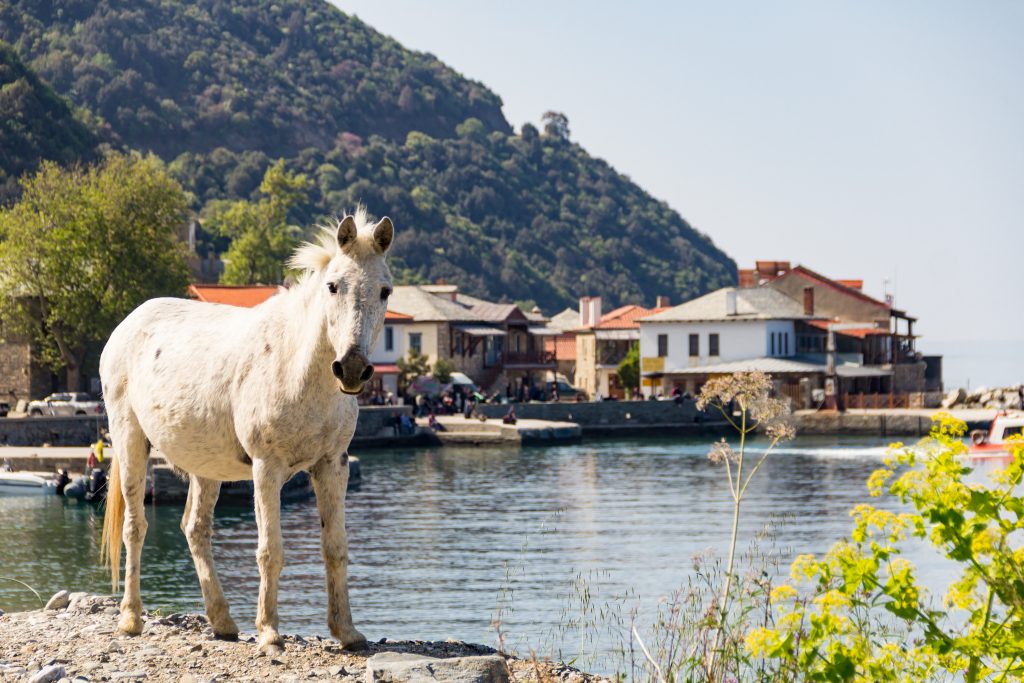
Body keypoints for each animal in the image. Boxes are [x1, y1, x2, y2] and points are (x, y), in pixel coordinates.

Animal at [99, 209, 393, 655]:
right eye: (333, 286)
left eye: (385, 291)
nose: (352, 368)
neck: (297, 368)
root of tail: (127, 323)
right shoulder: (266, 468)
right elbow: (270, 550)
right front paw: (269, 632)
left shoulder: (332, 465)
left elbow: (335, 548)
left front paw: (346, 631)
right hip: (130, 440)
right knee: (135, 527)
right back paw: (131, 619)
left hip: (206, 466)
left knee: (195, 529)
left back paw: (222, 622)